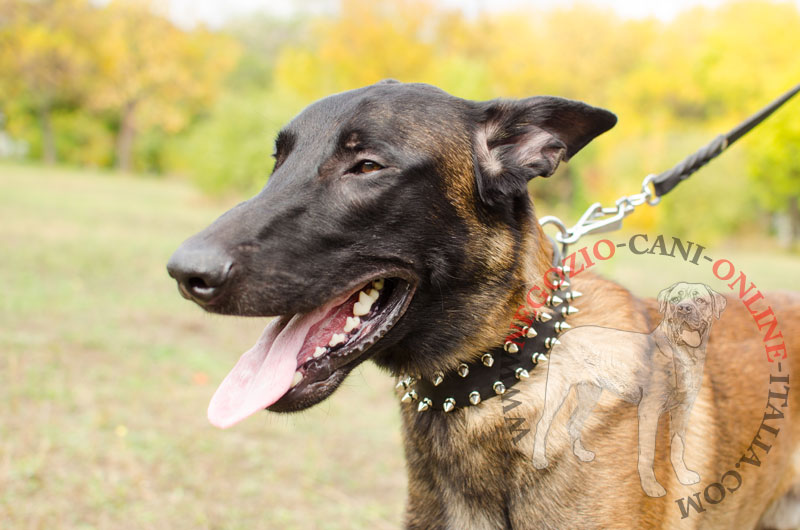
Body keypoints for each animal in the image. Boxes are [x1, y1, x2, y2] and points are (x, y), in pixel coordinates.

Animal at [536, 280, 728, 496]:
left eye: (700, 300)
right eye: (675, 299)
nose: (684, 308)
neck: (683, 354)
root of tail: (564, 333)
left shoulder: (683, 409)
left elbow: (678, 446)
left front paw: (683, 475)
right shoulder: (649, 411)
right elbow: (647, 453)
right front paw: (651, 487)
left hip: (590, 392)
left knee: (573, 423)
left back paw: (581, 454)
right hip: (557, 388)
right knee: (543, 423)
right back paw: (539, 460)